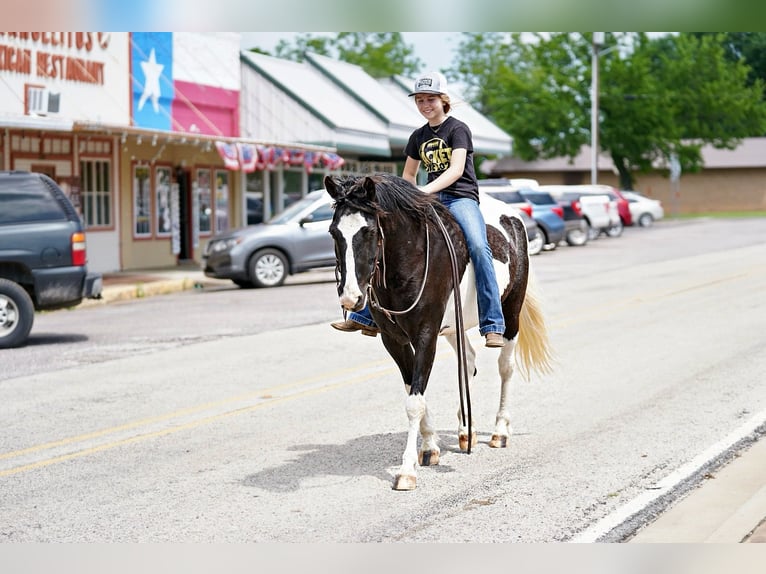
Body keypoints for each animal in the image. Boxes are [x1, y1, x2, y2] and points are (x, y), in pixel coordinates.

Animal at [328, 173, 556, 492]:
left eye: (369, 231)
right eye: (333, 232)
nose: (351, 298)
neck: (410, 259)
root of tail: (514, 218)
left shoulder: (426, 334)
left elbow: (414, 402)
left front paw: (407, 470)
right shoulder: (393, 339)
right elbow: (413, 389)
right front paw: (429, 447)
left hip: (511, 312)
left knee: (505, 367)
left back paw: (499, 431)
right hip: (453, 328)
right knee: (468, 361)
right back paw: (466, 430)